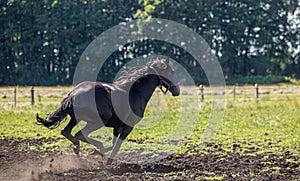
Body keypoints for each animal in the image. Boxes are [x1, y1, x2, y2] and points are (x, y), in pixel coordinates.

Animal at [36, 58, 179, 164]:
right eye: (171, 72)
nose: (177, 91)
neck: (135, 93)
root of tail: (73, 95)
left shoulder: (117, 126)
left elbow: (113, 143)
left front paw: (99, 153)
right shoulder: (128, 126)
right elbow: (117, 145)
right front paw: (107, 160)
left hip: (76, 118)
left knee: (66, 132)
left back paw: (78, 148)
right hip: (98, 121)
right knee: (79, 134)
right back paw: (95, 146)